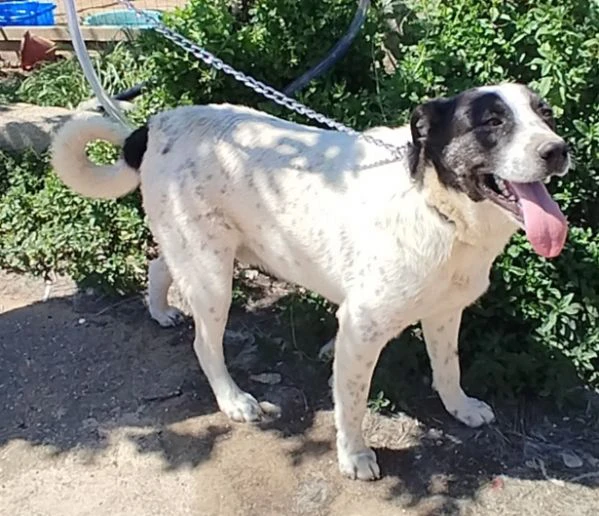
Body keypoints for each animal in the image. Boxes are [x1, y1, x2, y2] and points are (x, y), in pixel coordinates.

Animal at [51, 82, 572, 482]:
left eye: (545, 114)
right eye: (491, 122)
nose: (558, 149)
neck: (434, 205)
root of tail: (156, 124)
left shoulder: (446, 312)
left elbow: (448, 368)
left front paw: (459, 407)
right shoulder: (360, 329)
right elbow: (353, 402)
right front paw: (354, 456)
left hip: (201, 250)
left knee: (161, 265)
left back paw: (160, 310)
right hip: (213, 277)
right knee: (204, 343)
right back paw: (233, 400)